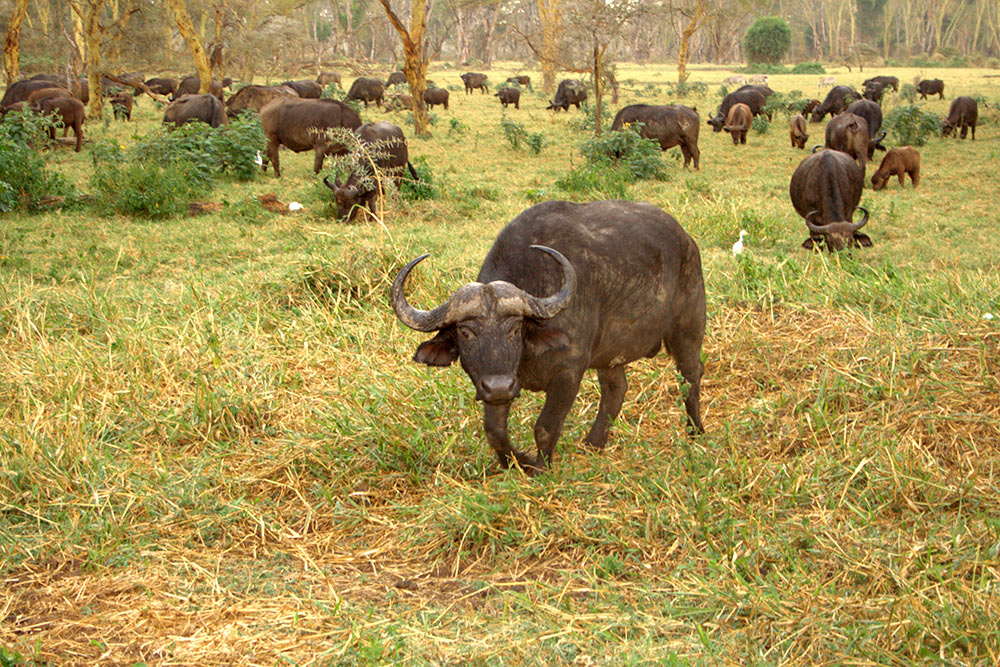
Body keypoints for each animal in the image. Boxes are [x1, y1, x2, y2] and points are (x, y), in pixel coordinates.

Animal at [388, 201, 704, 472]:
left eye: (515, 329)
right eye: (466, 333)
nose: (499, 386)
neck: (527, 353)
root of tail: (686, 240)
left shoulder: (569, 373)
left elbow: (545, 427)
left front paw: (542, 467)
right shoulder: (495, 385)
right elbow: (495, 432)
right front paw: (519, 461)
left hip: (688, 329)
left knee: (690, 376)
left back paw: (695, 432)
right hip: (610, 355)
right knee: (616, 389)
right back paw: (594, 442)